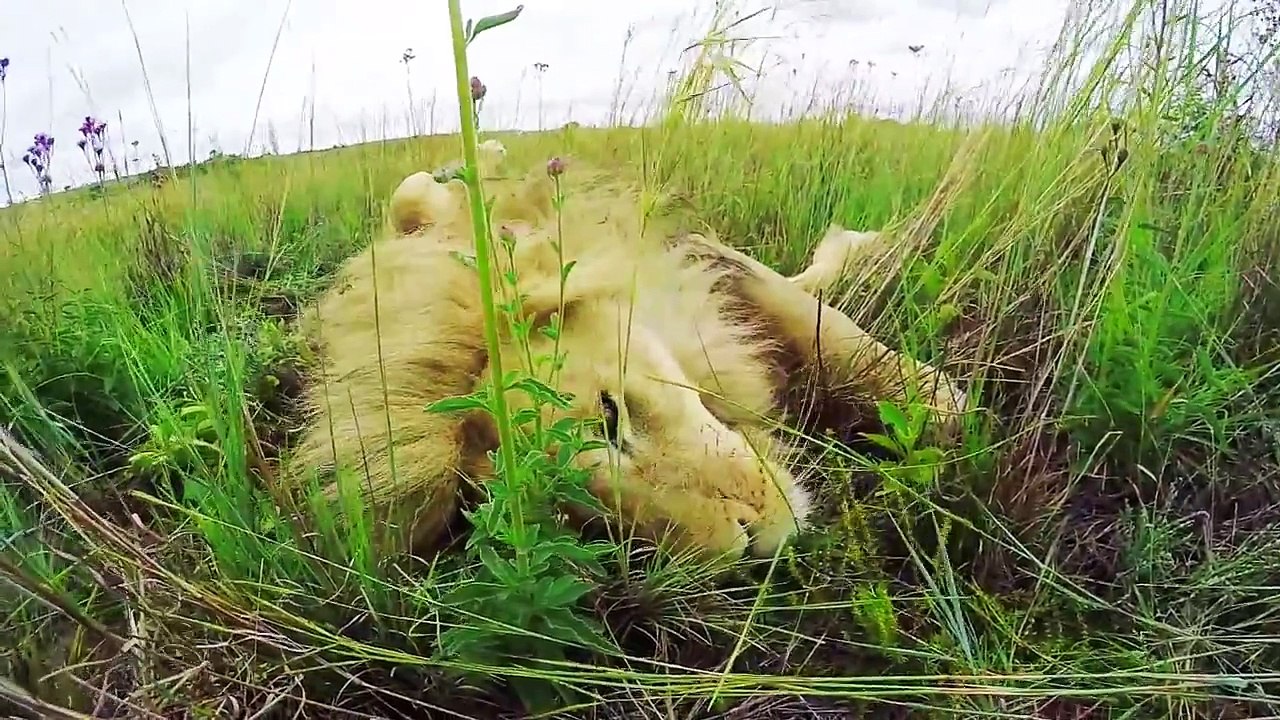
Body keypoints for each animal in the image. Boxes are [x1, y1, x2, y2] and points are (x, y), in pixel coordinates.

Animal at [282, 145, 967, 564]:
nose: (750, 546)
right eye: (573, 510)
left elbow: (839, 333)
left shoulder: (709, 263)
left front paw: (936, 407)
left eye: (611, 415)